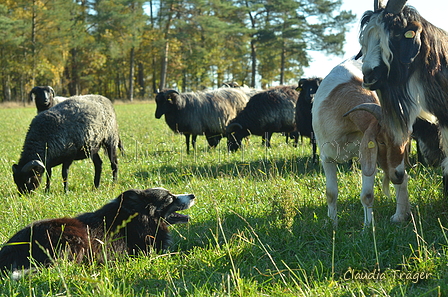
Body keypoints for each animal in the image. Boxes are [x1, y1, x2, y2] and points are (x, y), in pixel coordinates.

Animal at [312, 58, 410, 227]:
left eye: (405, 142)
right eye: (382, 142)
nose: (398, 174)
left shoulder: (367, 156)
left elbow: (367, 195)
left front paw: (368, 226)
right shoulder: (326, 157)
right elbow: (331, 193)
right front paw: (332, 223)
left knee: (403, 181)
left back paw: (399, 215)